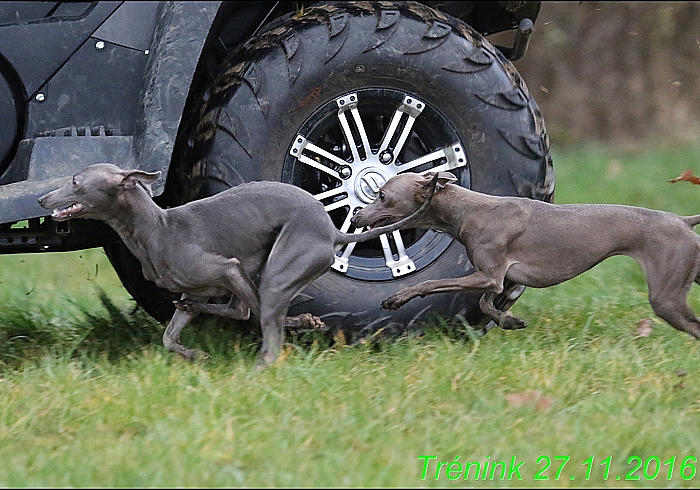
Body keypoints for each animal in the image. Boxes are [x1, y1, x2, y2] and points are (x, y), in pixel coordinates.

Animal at [38, 164, 434, 364]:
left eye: (74, 181)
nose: (42, 198)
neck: (157, 228)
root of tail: (332, 231)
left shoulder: (226, 268)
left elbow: (251, 313)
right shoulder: (205, 283)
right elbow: (169, 337)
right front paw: (193, 353)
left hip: (276, 271)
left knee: (257, 311)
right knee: (241, 308)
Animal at [350, 170, 700, 338]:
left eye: (382, 195)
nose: (355, 217)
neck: (468, 210)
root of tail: (683, 220)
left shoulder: (489, 276)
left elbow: (431, 284)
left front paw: (397, 298)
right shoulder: (502, 279)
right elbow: (485, 304)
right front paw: (510, 322)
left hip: (666, 297)